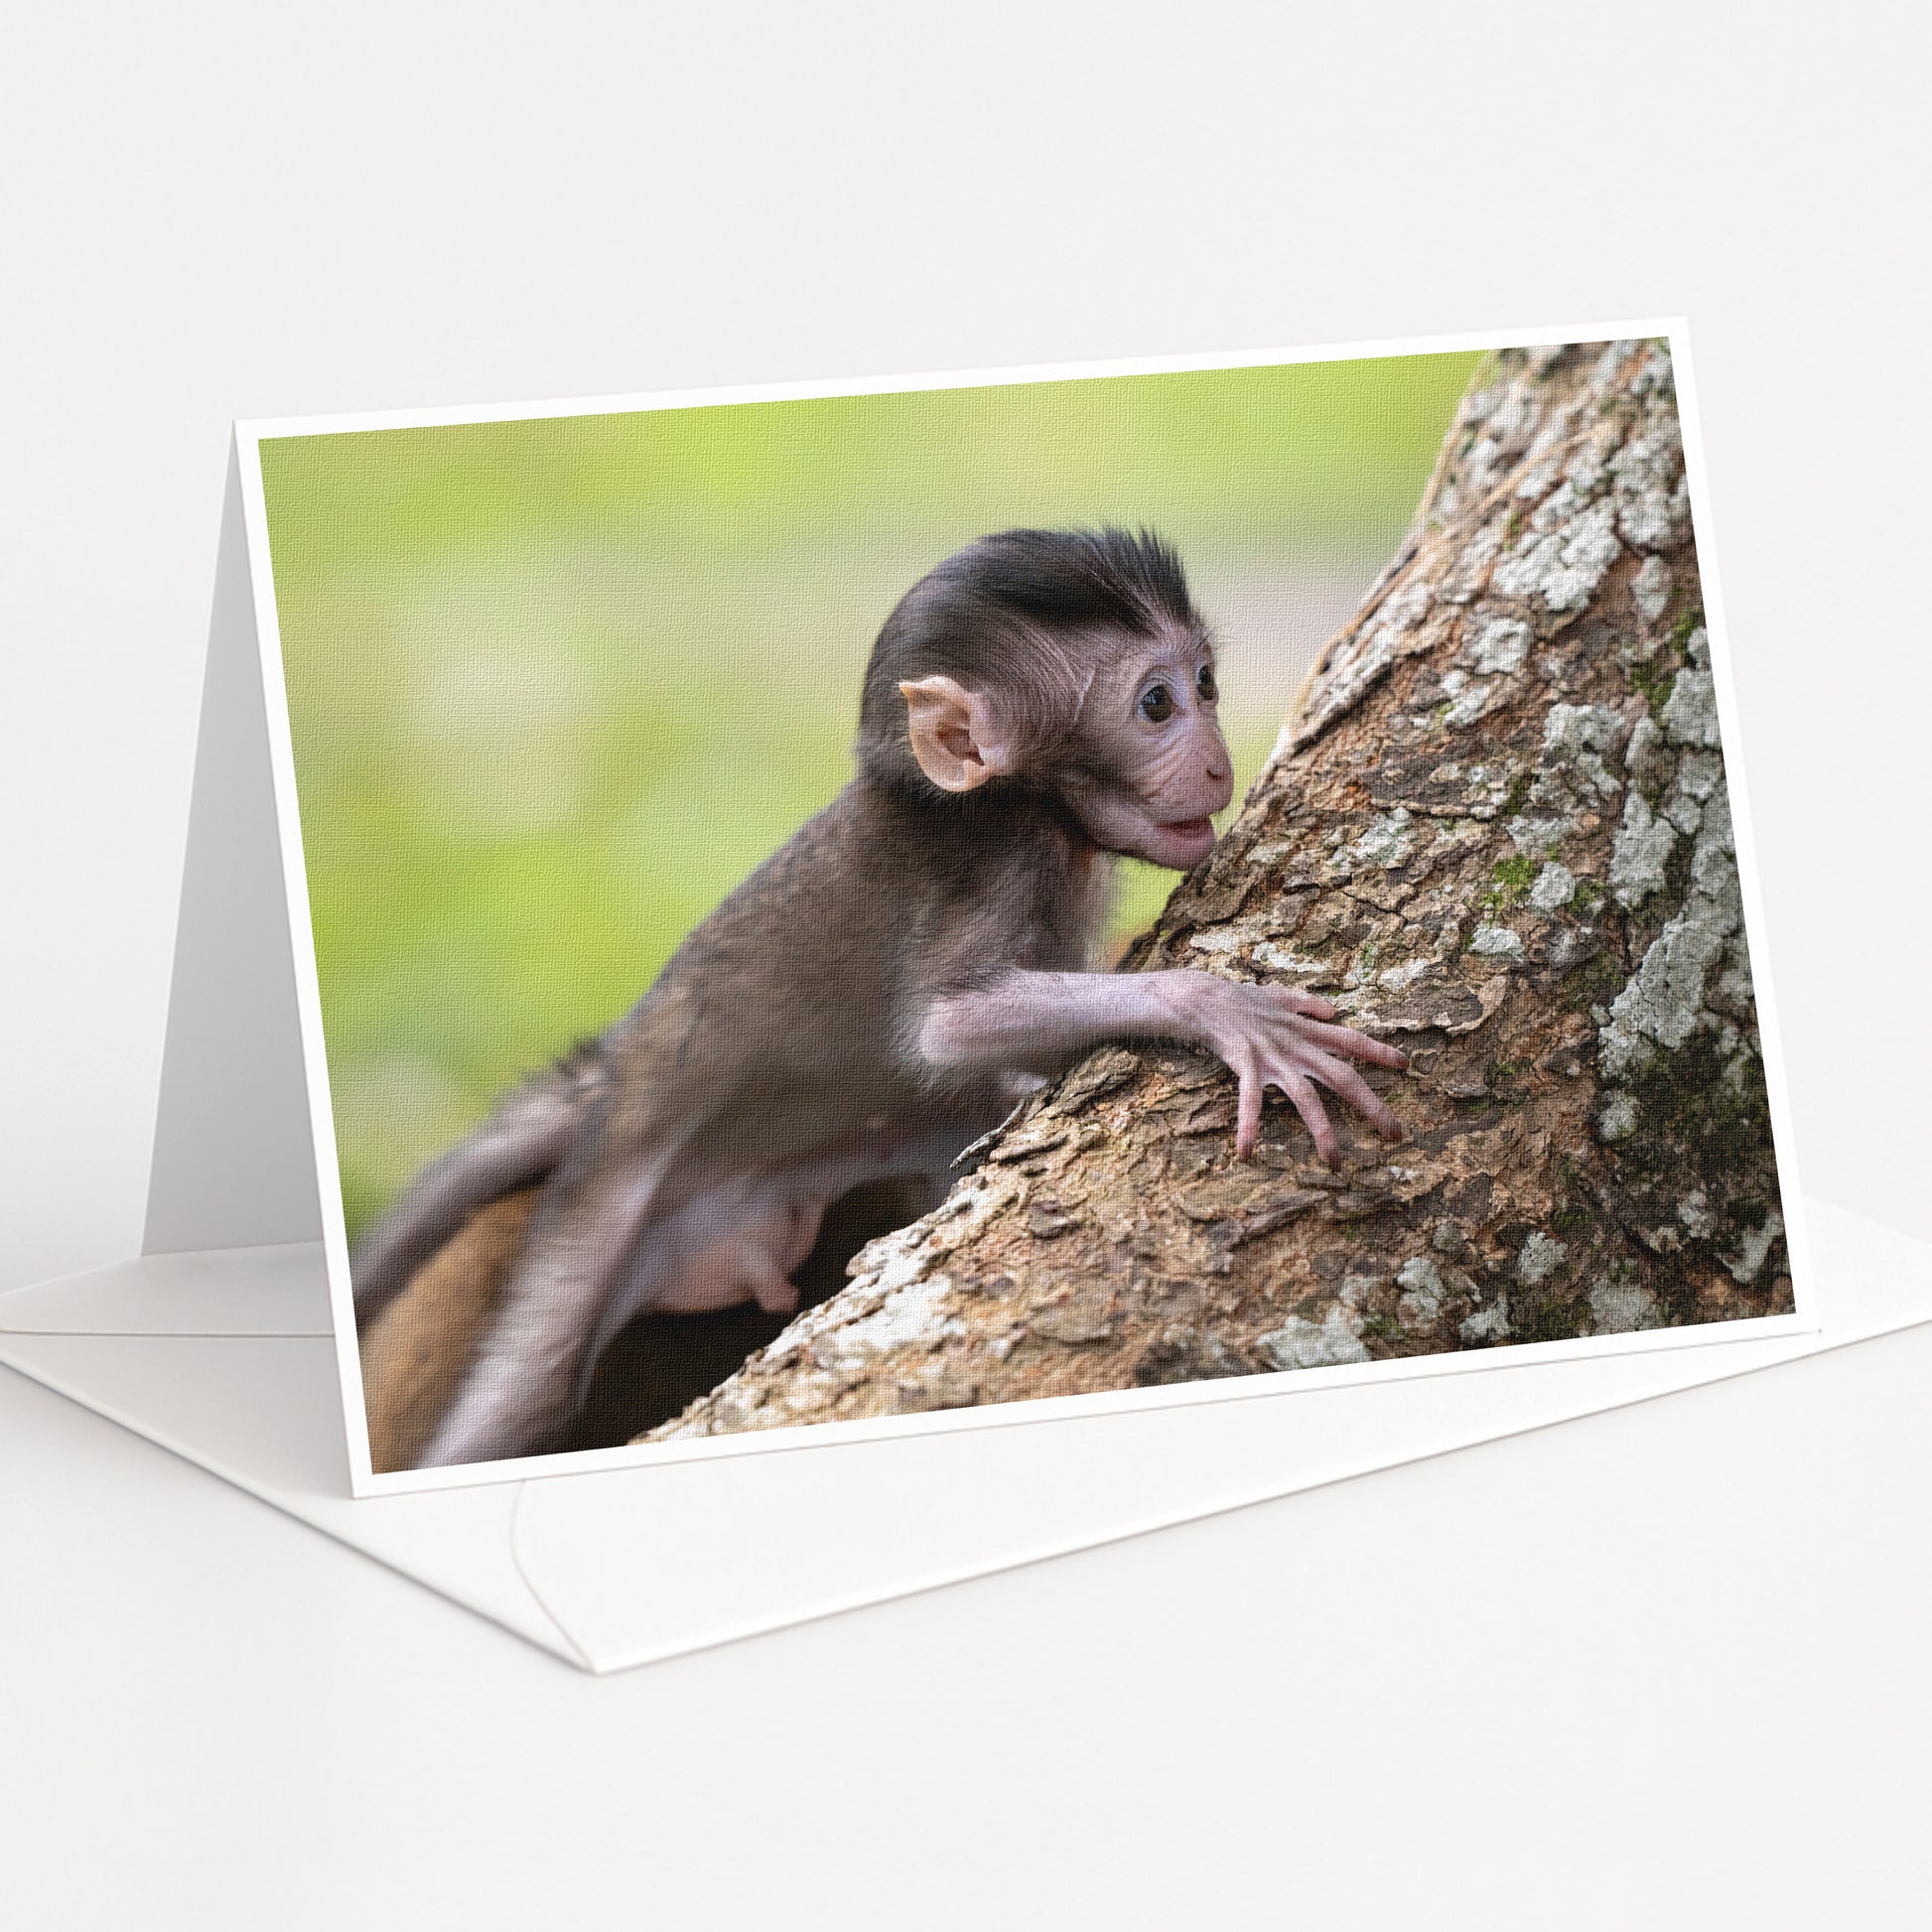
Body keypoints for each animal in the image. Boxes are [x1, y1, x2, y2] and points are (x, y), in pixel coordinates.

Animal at [351, 527, 1408, 1469]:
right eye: (1156, 703)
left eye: (1207, 684)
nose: (1221, 760)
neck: (1014, 802)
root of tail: (614, 1073)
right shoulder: (1000, 858)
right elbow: (948, 1029)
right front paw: (1228, 1012)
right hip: (598, 1209)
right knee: (522, 1394)